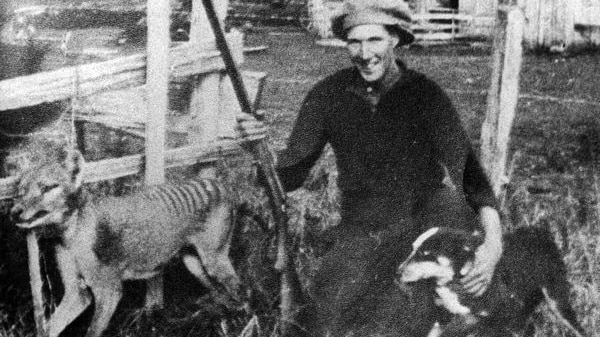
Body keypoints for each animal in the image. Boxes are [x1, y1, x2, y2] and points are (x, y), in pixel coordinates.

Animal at [398, 226, 584, 336]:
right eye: (413, 249)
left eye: (424, 253)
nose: (397, 273)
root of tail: (540, 232)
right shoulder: (444, 317)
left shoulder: (498, 318)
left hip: (556, 300)